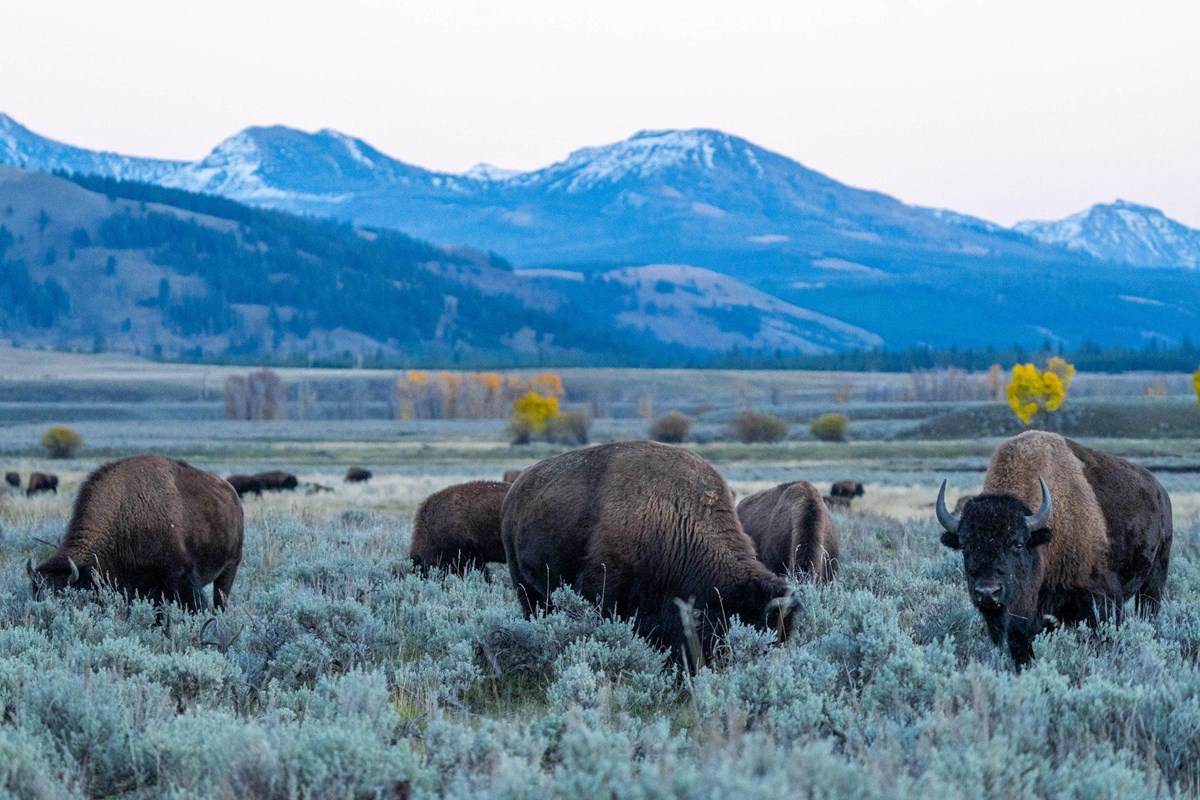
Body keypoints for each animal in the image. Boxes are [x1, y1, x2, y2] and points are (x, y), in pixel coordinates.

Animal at [27, 454, 244, 611]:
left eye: (63, 596)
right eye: (35, 594)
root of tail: (232, 494)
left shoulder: (181, 577)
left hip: (230, 567)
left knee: (221, 599)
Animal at [936, 431, 1172, 666]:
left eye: (1018, 544)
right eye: (965, 546)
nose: (987, 592)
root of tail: (1160, 492)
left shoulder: (1102, 599)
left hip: (1154, 579)